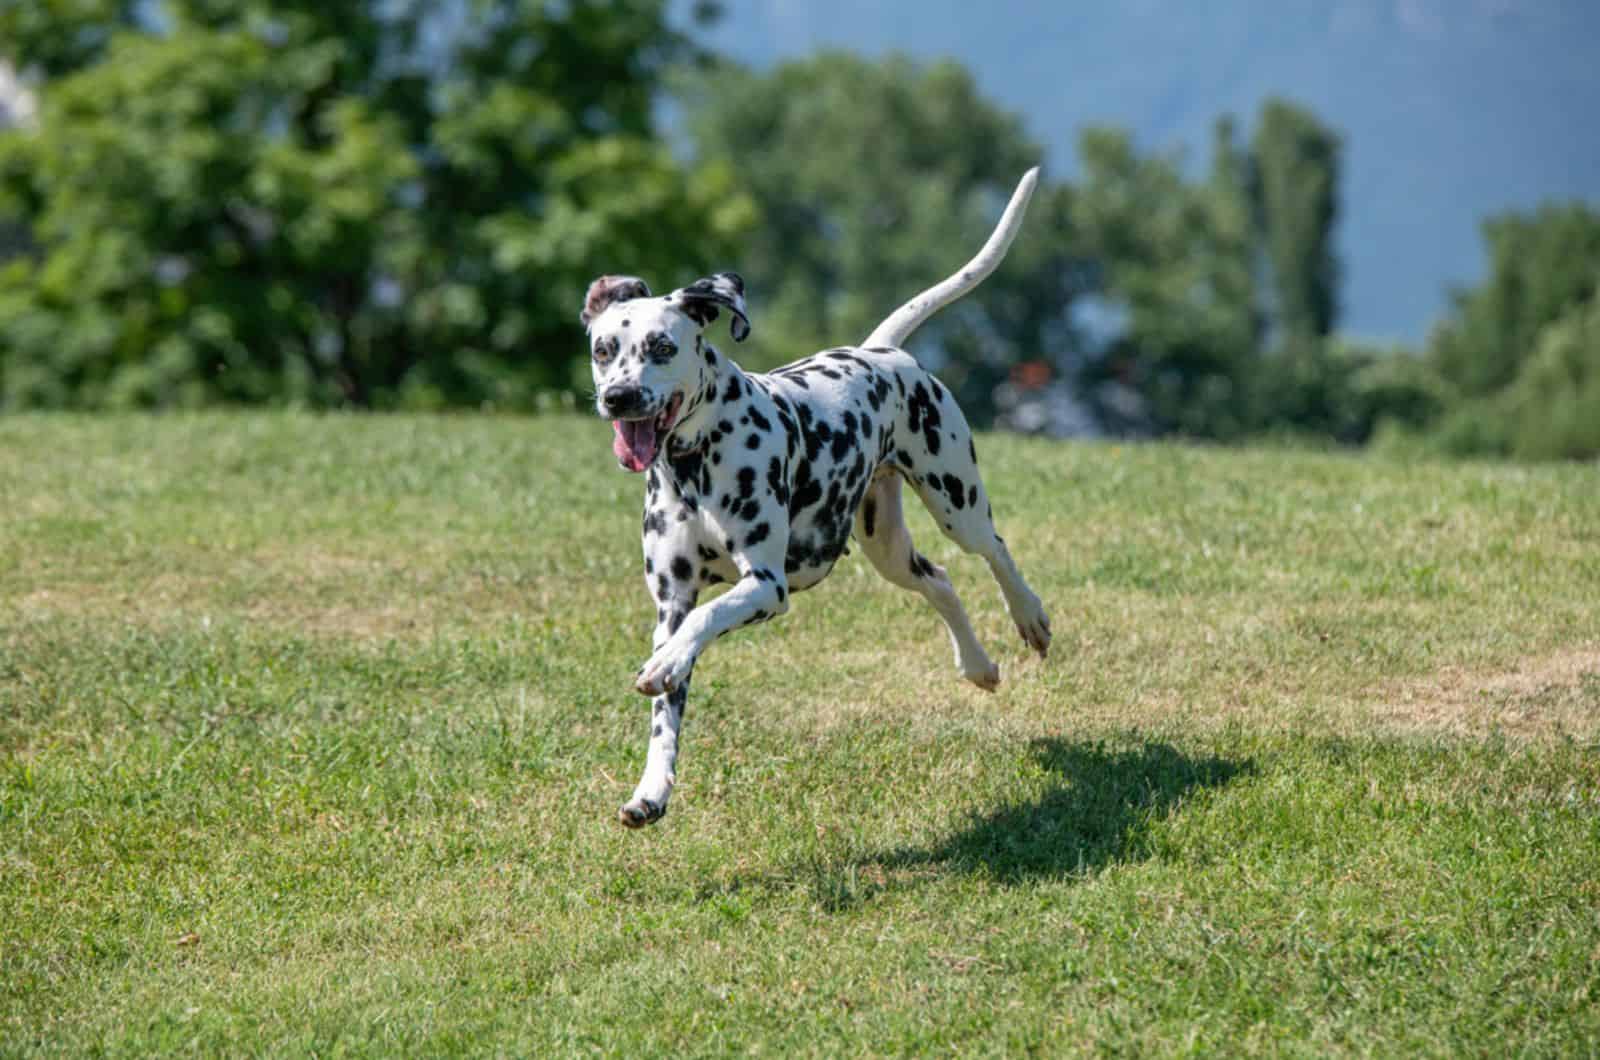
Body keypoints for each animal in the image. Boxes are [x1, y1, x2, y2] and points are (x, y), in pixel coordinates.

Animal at [585, 168, 1049, 832]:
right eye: (603, 350)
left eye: (662, 347)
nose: (619, 397)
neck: (695, 464)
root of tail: (880, 351)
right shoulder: (669, 604)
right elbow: (665, 711)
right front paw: (651, 790)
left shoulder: (764, 586)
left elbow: (705, 620)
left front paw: (665, 667)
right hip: (887, 546)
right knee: (940, 582)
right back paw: (978, 665)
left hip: (956, 501)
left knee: (996, 551)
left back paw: (1030, 616)